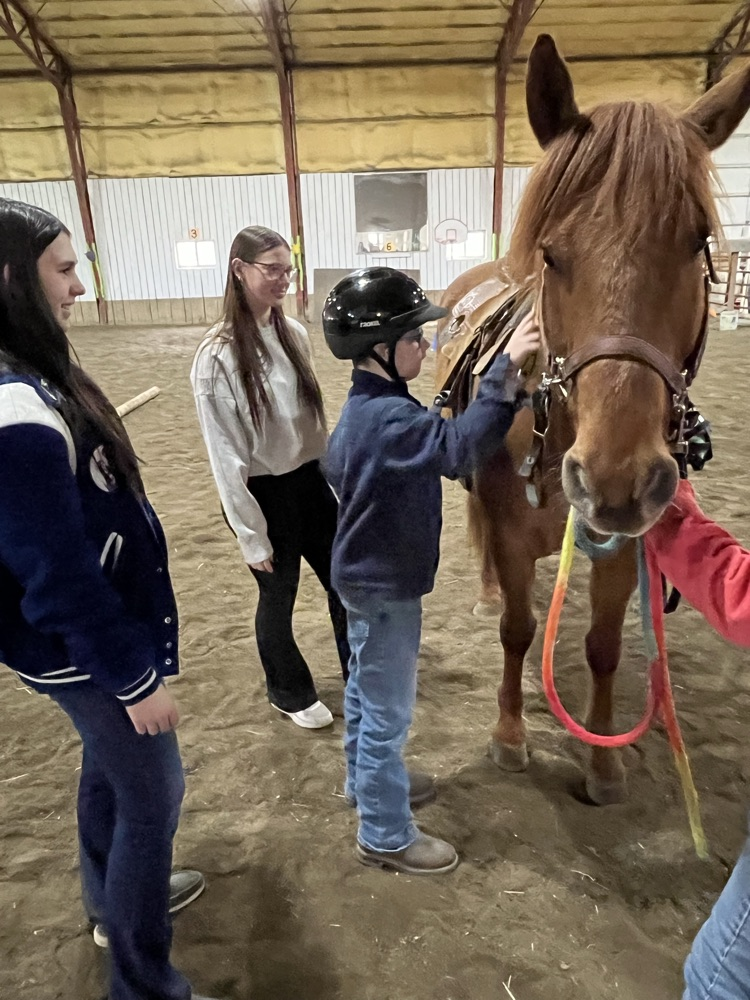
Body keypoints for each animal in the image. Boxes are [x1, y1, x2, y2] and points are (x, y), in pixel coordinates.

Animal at [435, 34, 750, 805]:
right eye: (553, 254)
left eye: (698, 244)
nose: (614, 476)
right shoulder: (512, 534)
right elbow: (519, 630)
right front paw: (510, 735)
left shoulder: (626, 547)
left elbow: (604, 646)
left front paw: (604, 761)